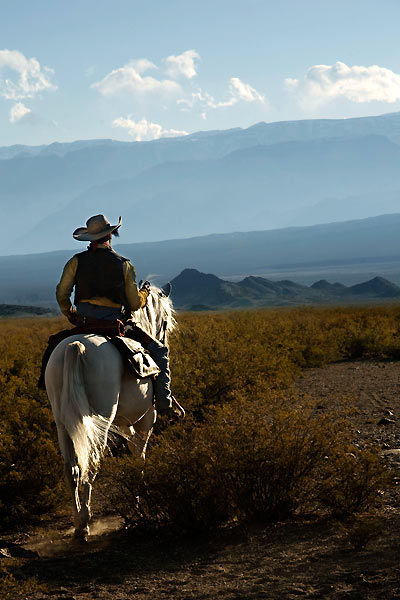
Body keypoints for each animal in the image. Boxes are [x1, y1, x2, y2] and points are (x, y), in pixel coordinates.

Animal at [44, 288, 176, 540]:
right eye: (164, 321)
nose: (163, 340)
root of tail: (75, 346)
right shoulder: (146, 420)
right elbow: (140, 455)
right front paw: (139, 499)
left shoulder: (125, 423)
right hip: (101, 422)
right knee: (92, 463)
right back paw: (85, 522)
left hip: (62, 421)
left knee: (71, 467)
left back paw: (78, 521)